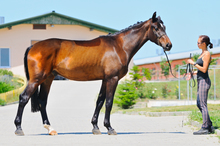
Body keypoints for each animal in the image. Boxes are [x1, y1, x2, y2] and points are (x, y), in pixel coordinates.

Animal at [14, 11, 172, 136]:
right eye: (156, 28)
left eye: (164, 27)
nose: (168, 45)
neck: (119, 46)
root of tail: (33, 46)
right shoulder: (112, 79)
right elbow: (109, 102)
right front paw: (109, 128)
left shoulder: (105, 79)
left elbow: (100, 101)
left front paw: (95, 127)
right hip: (37, 79)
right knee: (23, 98)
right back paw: (19, 128)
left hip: (48, 78)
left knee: (42, 101)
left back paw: (50, 128)